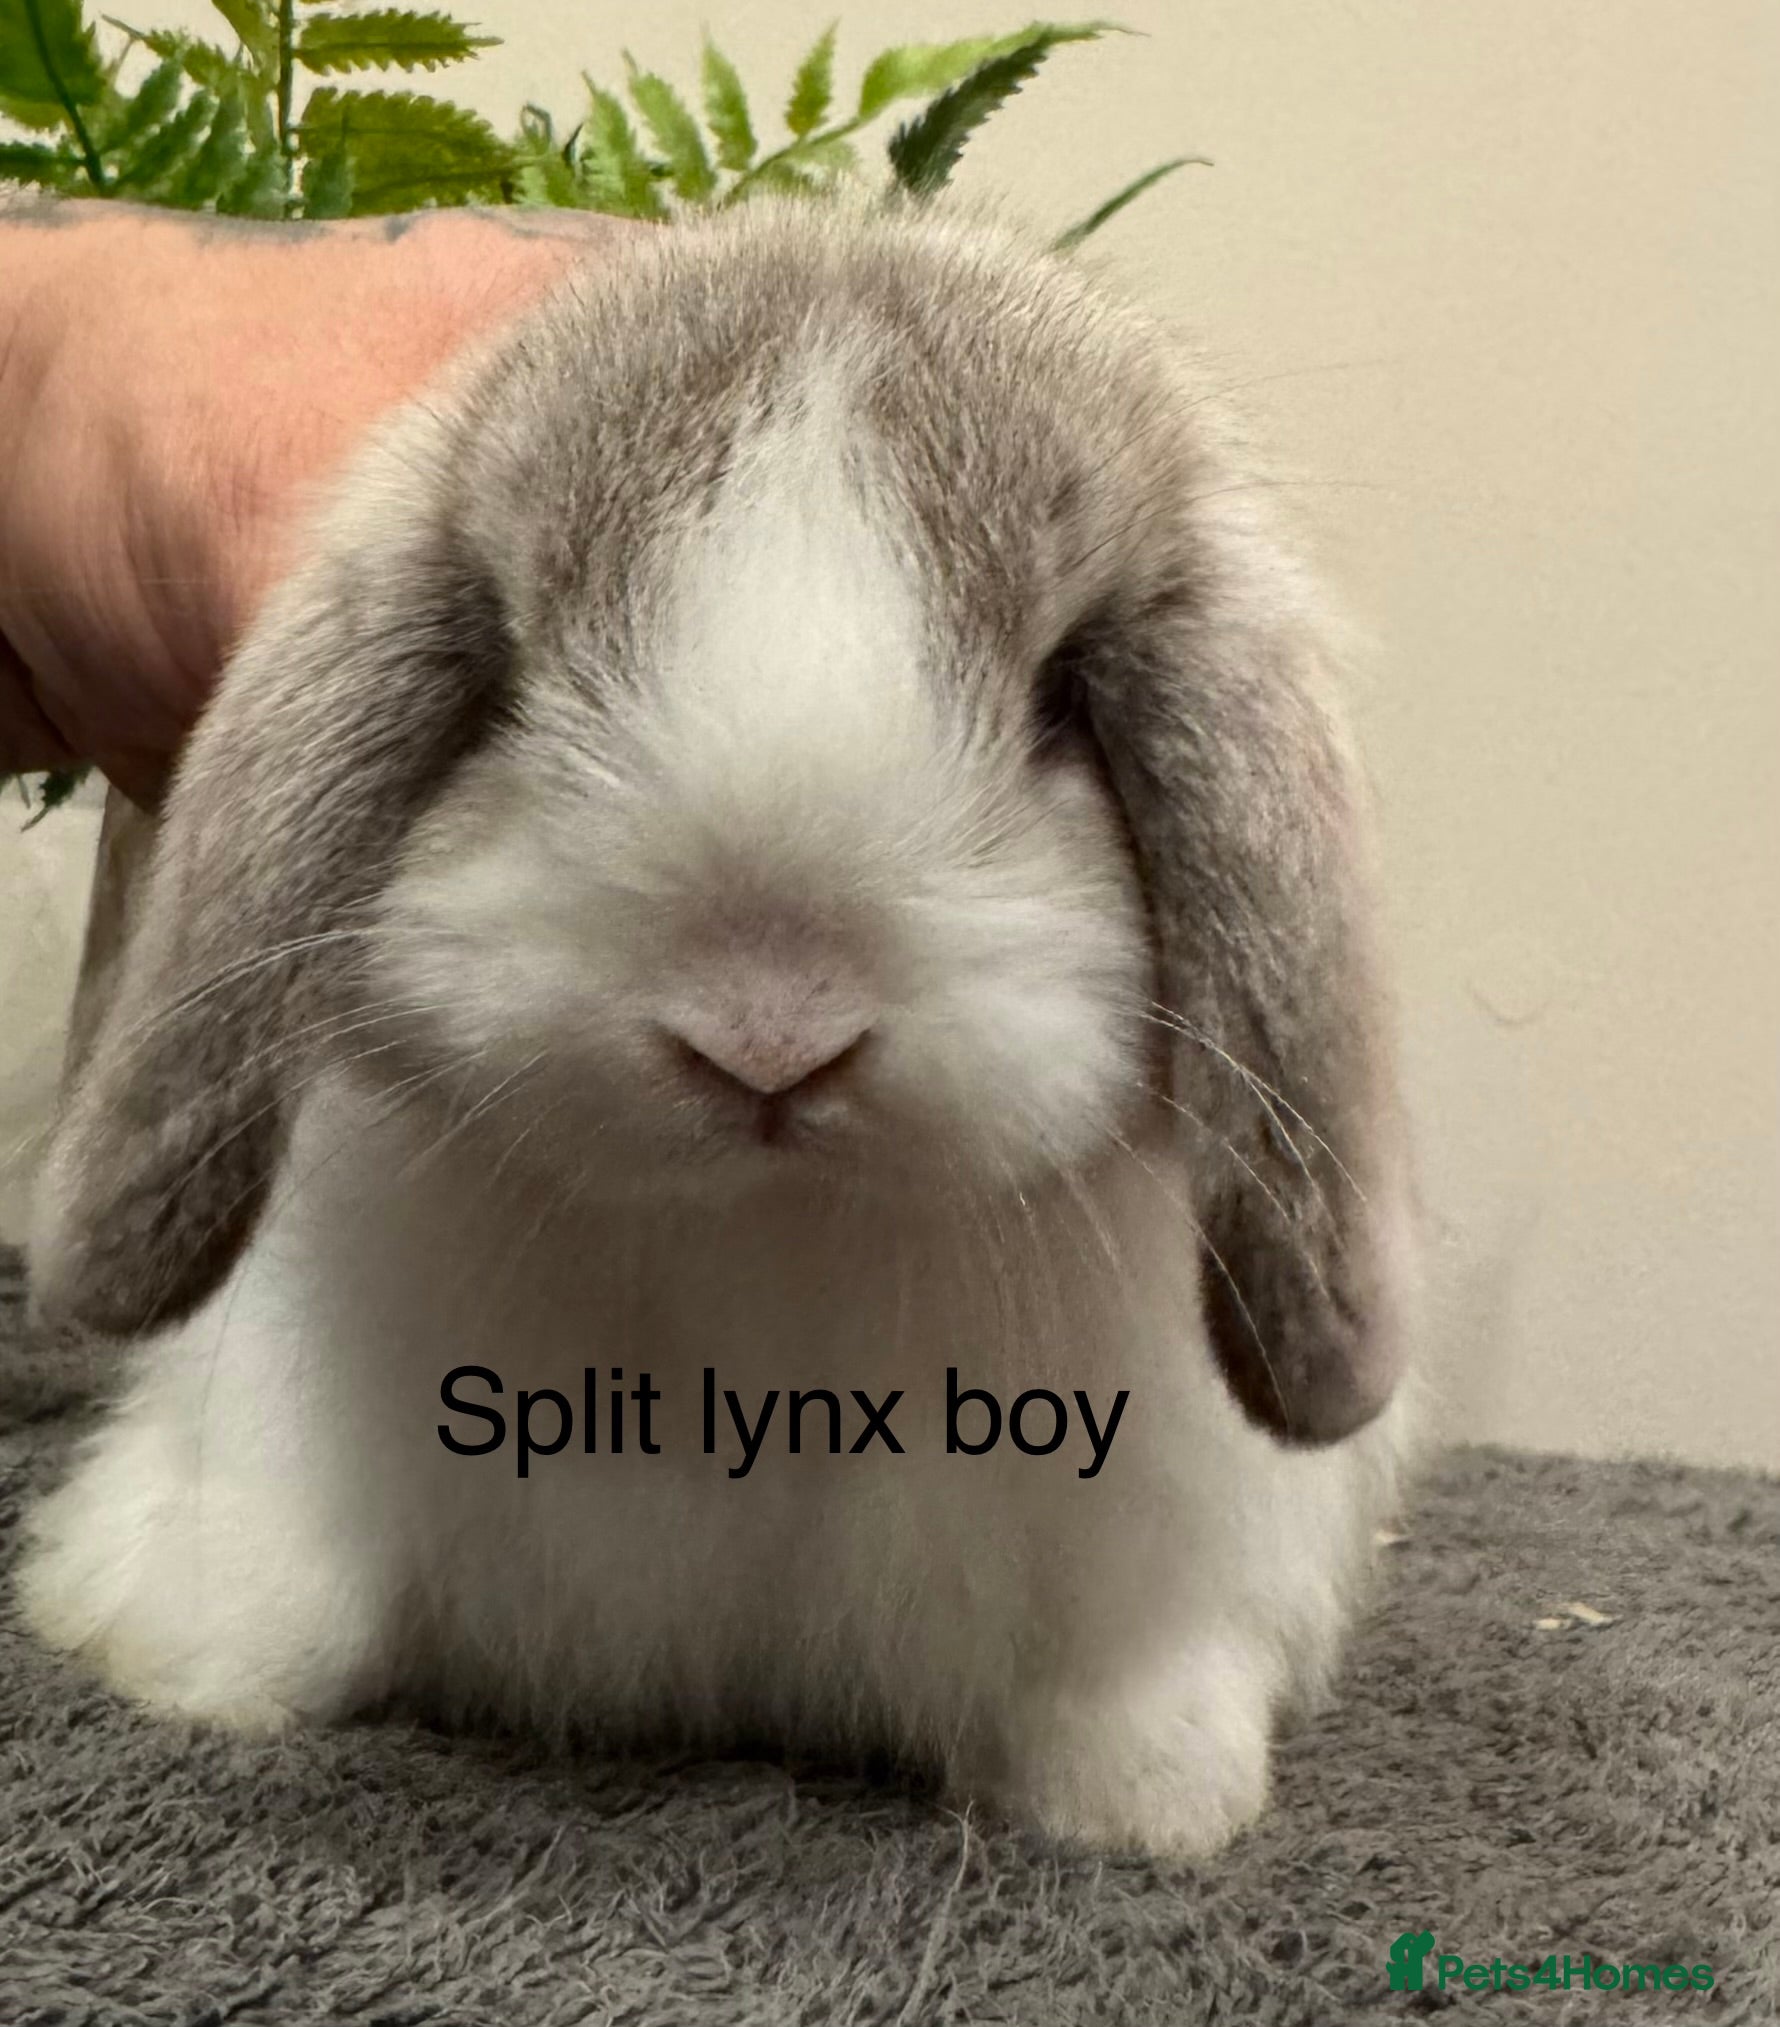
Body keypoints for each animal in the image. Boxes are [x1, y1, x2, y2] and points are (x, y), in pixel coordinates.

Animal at [16, 200, 1416, 1858]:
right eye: (510, 668)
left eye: (1067, 695)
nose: (767, 1036)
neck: (764, 1249)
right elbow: (280, 1591)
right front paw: (171, 1653)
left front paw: (1147, 1796)